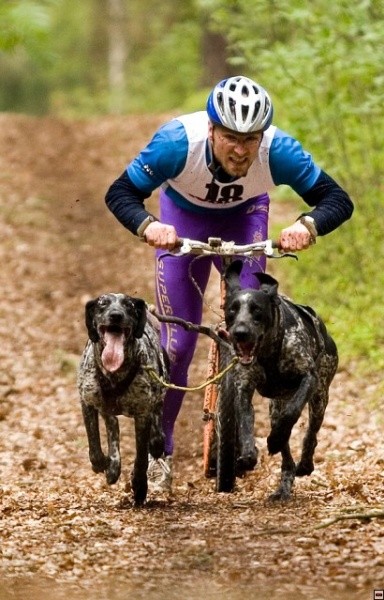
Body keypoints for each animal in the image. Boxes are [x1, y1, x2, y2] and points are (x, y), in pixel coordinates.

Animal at [78, 292, 168, 504]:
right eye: (102, 304)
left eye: (128, 305)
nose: (116, 315)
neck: (114, 375)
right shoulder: (87, 403)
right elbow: (95, 447)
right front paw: (104, 464)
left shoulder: (143, 414)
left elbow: (142, 456)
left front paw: (140, 486)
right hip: (108, 413)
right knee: (113, 435)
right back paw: (112, 465)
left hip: (160, 388)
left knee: (157, 425)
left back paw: (156, 442)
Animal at [224, 262, 338, 502]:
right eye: (232, 310)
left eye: (257, 309)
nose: (240, 333)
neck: (268, 353)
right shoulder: (243, 390)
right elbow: (246, 424)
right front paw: (248, 455)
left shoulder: (309, 378)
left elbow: (292, 413)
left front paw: (274, 440)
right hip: (275, 407)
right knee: (286, 454)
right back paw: (284, 485)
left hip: (319, 399)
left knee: (309, 434)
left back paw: (304, 462)